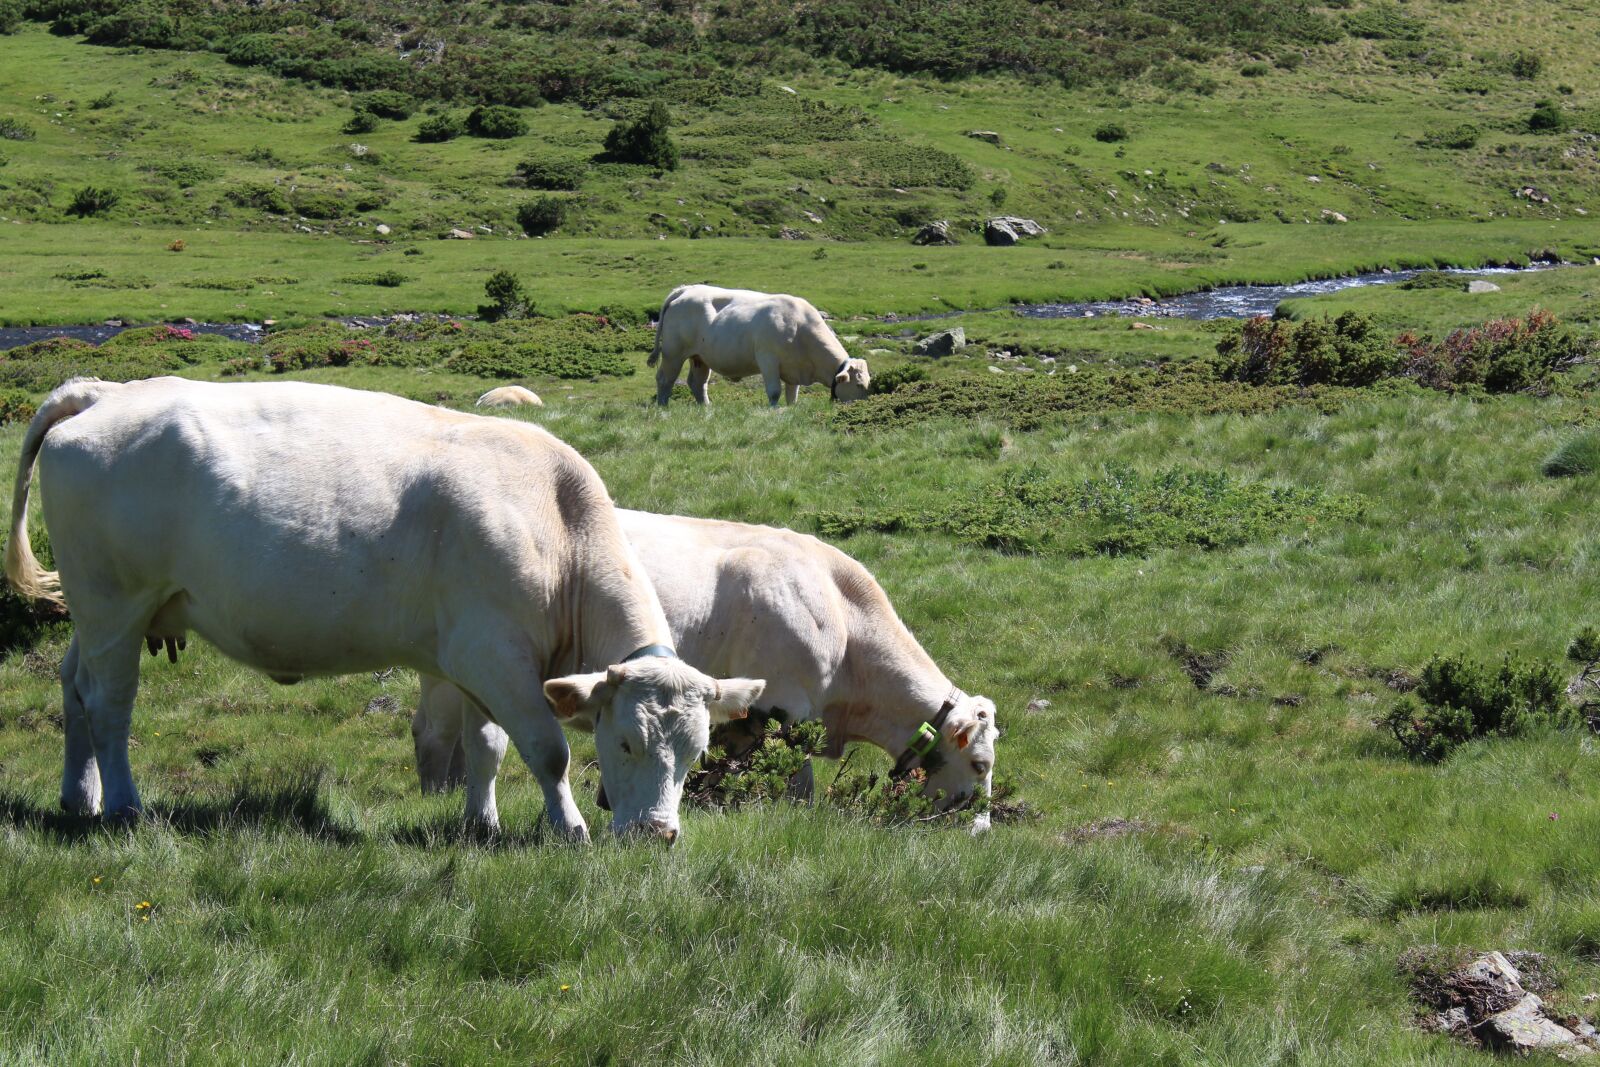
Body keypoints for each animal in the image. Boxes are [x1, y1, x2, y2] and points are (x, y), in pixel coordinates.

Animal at [4, 377, 764, 843]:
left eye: (695, 753)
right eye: (627, 741)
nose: (658, 835)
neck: (556, 522)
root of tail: (107, 391)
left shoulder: (476, 661)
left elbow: (486, 748)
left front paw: (481, 823)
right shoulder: (494, 655)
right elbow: (547, 751)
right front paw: (568, 827)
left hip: (100, 613)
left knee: (74, 685)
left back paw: (79, 796)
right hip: (114, 603)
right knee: (110, 703)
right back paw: (123, 806)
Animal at [647, 285, 871, 408]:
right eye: (859, 385)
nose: (862, 407)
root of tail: (686, 289)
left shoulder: (794, 368)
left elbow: (792, 395)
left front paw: (791, 409)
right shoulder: (768, 359)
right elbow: (774, 391)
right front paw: (773, 411)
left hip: (700, 357)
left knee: (698, 383)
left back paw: (706, 407)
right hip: (673, 353)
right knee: (665, 378)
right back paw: (663, 406)